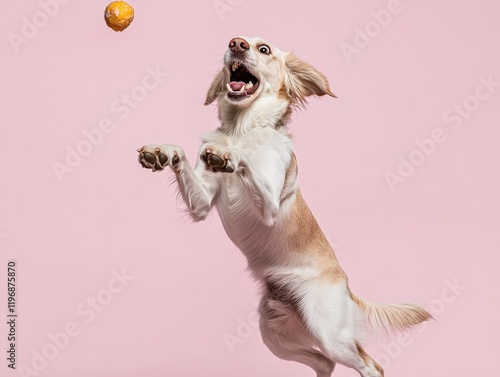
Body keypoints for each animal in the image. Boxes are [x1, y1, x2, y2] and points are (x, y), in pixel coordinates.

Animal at [137, 36, 430, 376]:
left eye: (263, 49)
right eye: (235, 41)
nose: (236, 44)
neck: (242, 130)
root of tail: (345, 284)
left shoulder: (269, 206)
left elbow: (246, 164)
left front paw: (229, 158)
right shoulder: (201, 203)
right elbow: (183, 155)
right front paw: (162, 151)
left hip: (330, 332)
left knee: (370, 365)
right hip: (274, 333)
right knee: (324, 363)